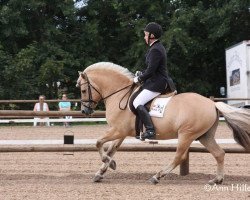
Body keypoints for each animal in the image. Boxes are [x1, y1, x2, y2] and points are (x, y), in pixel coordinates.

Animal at [76, 61, 250, 184]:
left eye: (83, 90)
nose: (85, 111)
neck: (119, 94)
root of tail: (211, 103)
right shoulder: (121, 132)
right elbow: (111, 149)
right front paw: (102, 171)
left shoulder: (118, 130)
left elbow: (98, 143)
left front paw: (109, 163)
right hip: (204, 136)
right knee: (219, 153)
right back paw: (217, 180)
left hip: (187, 134)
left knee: (179, 156)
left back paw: (157, 176)